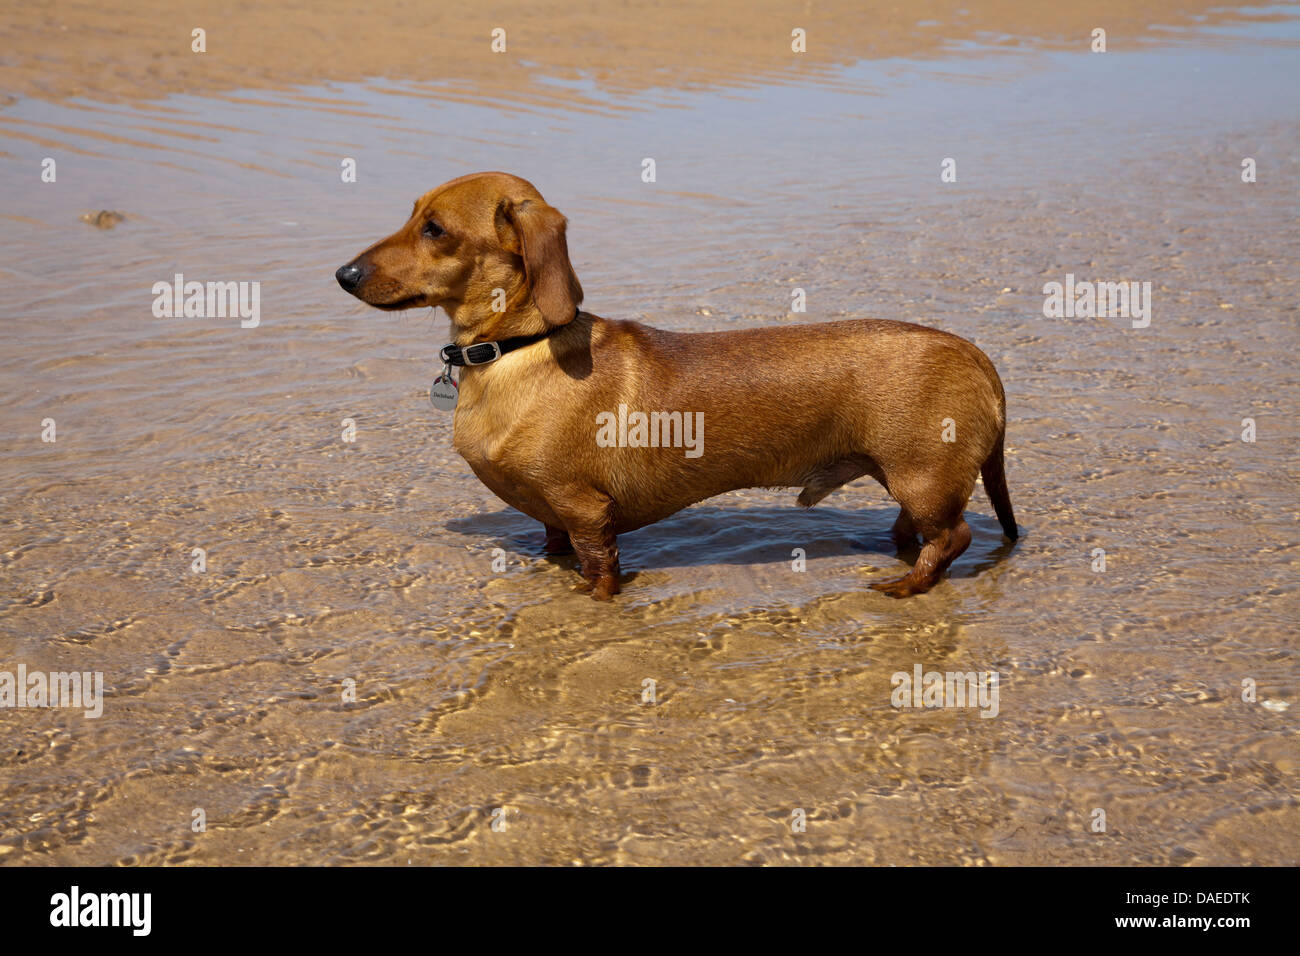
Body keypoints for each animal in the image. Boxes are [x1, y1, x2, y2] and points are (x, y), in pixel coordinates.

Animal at [335, 174, 1013, 598]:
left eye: (435, 229)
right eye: (411, 215)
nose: (343, 274)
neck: (516, 352)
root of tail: (974, 352)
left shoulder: (586, 511)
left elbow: (599, 572)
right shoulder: (555, 520)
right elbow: (556, 550)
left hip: (920, 477)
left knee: (955, 535)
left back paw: (911, 583)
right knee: (918, 530)